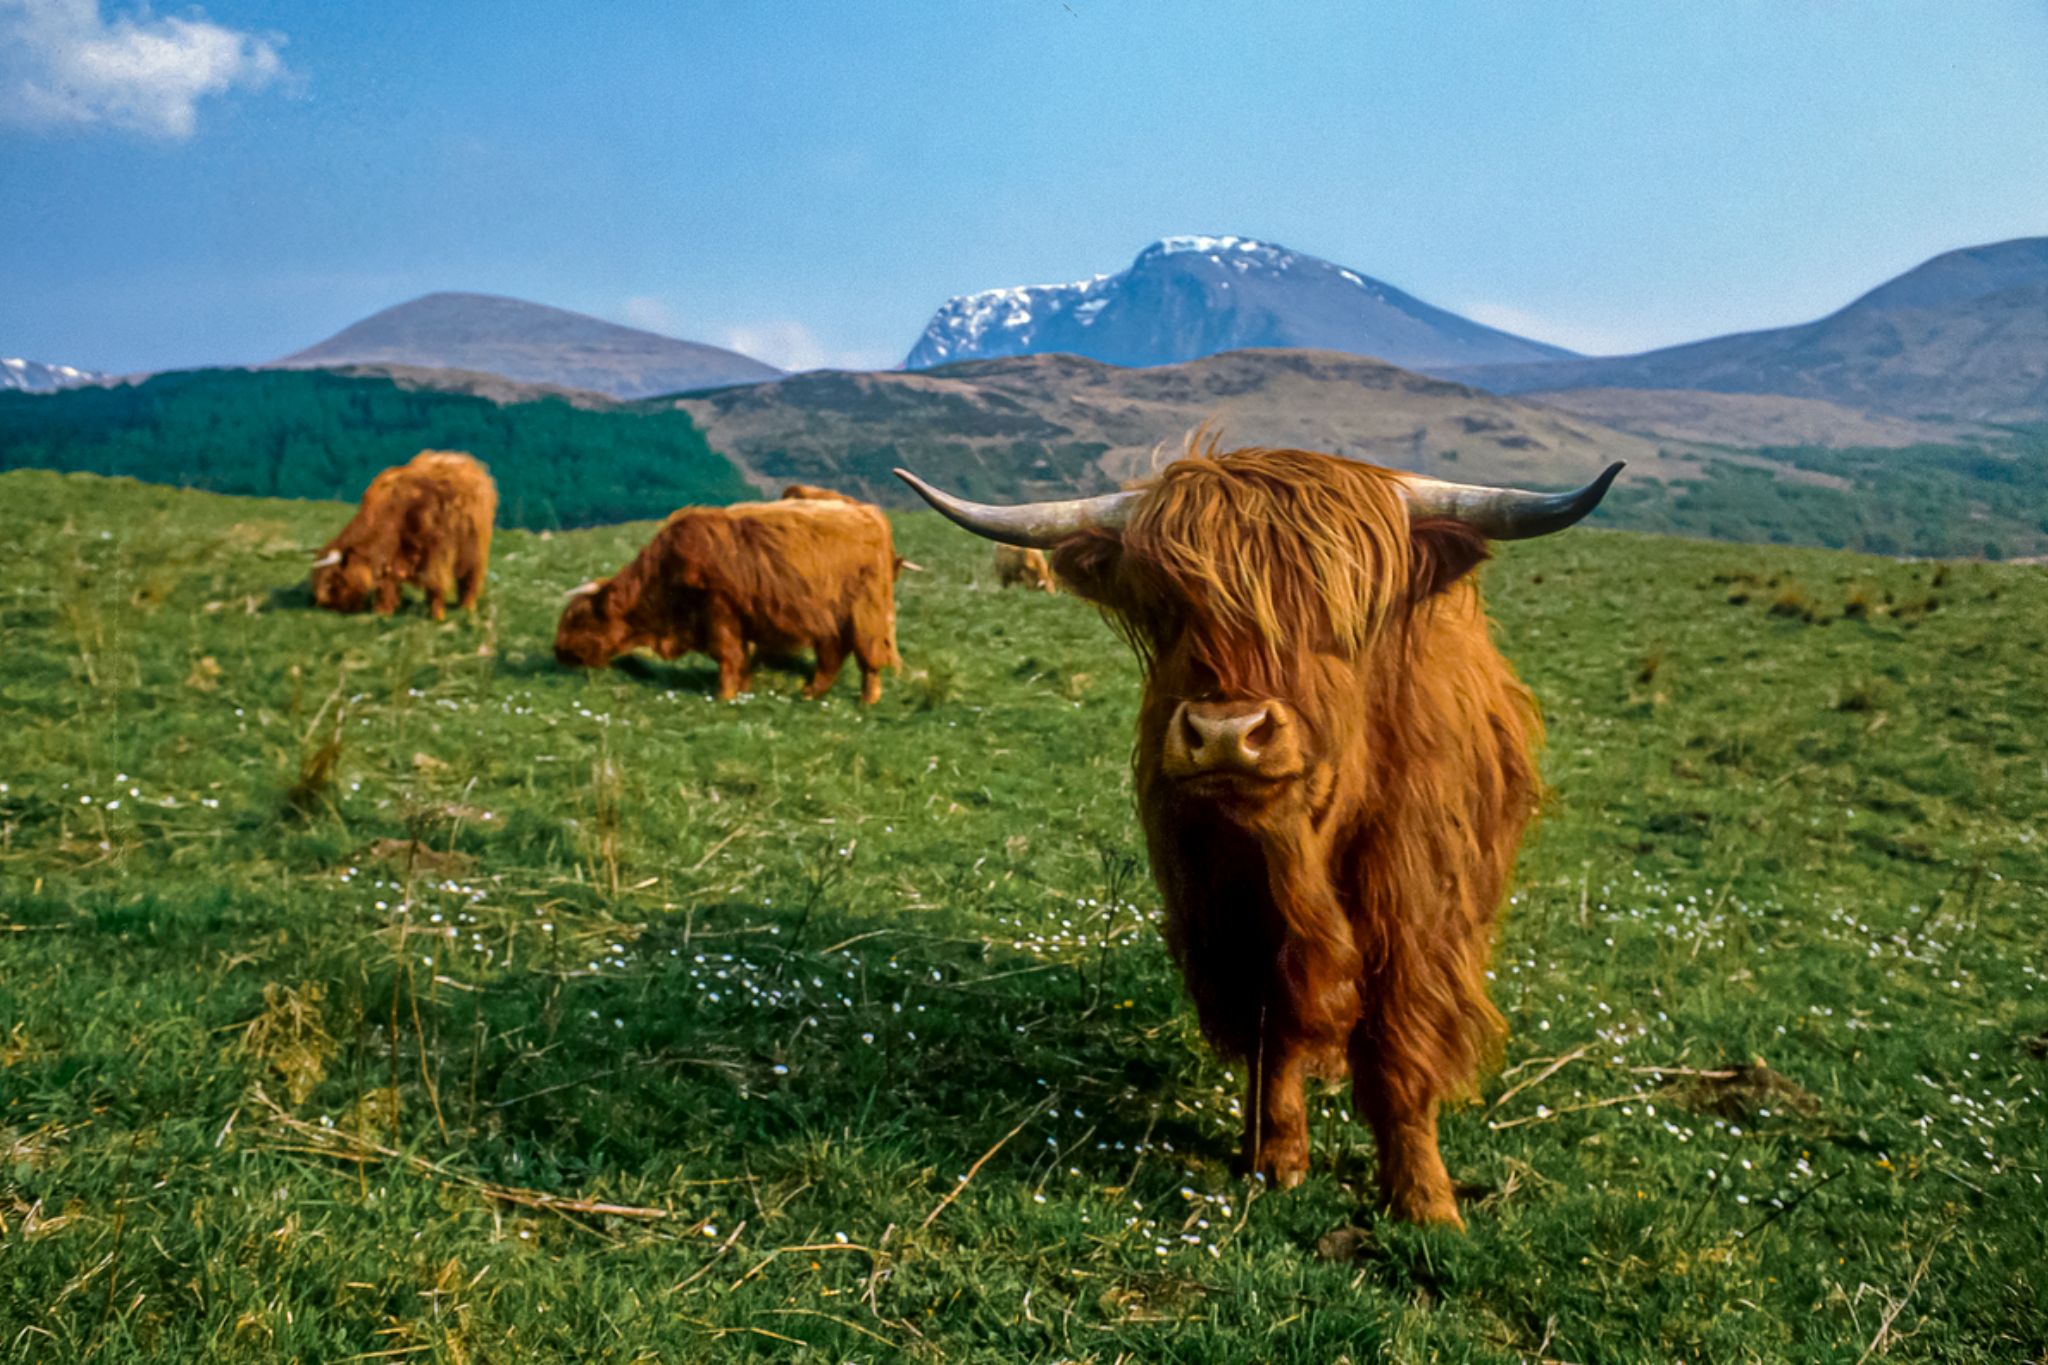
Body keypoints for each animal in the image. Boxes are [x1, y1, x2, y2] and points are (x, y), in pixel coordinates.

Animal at [310, 450, 496, 621]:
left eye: (332, 582)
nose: (327, 607)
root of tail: (465, 460)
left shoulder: (435, 553)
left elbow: (434, 585)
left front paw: (437, 616)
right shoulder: (392, 557)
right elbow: (387, 586)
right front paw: (382, 611)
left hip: (473, 548)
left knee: (470, 578)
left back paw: (467, 607)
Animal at [554, 497, 902, 703]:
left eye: (580, 619)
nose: (558, 652)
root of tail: (869, 513)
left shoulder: (719, 611)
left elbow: (727, 656)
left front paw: (723, 695)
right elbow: (740, 658)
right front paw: (742, 690)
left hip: (864, 610)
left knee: (868, 655)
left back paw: (866, 700)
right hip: (829, 618)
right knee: (833, 653)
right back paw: (810, 692)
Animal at [897, 443, 1620, 1227]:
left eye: (1336, 609)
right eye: (1174, 607)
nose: (1225, 734)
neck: (1298, 849)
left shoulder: (1416, 916)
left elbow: (1401, 1052)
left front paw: (1425, 1199)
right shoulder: (1227, 917)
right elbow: (1271, 1032)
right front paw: (1274, 1155)